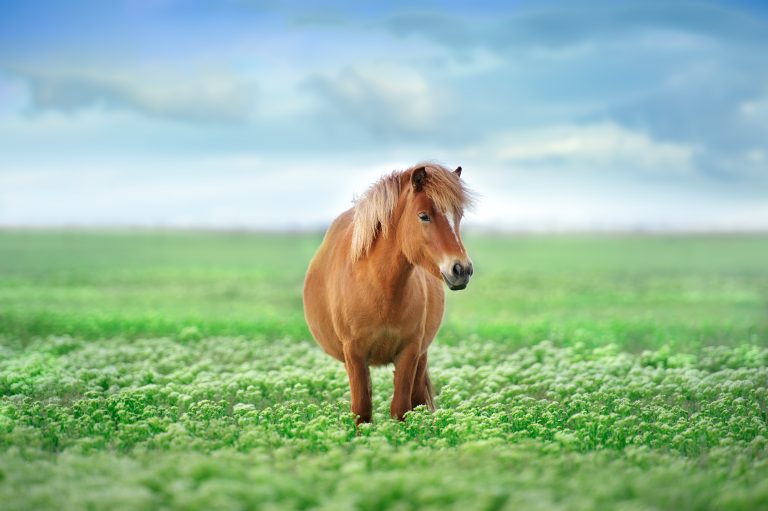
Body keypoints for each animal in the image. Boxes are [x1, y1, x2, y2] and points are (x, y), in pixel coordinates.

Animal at [303, 163, 475, 424]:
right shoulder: (354, 354)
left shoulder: (410, 351)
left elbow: (402, 409)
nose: (462, 270)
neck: (381, 289)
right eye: (423, 216)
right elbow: (362, 410)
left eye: (459, 216)